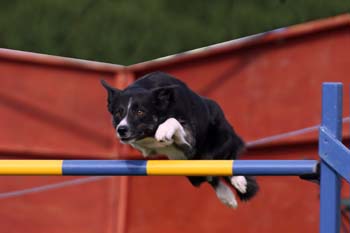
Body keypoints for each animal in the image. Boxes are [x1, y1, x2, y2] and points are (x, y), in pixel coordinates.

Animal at [101, 72, 258, 208]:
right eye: (118, 113)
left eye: (140, 112)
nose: (121, 129)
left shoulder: (190, 137)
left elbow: (172, 121)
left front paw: (163, 131)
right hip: (193, 171)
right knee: (211, 177)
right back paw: (227, 197)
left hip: (220, 143)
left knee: (227, 160)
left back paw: (240, 182)